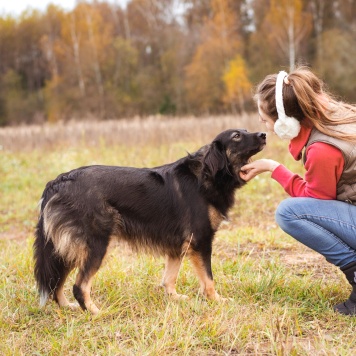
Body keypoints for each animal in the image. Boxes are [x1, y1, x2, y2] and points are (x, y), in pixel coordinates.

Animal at [33, 129, 266, 312]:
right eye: (236, 136)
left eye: (245, 131)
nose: (264, 134)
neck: (209, 173)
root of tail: (58, 182)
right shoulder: (200, 241)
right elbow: (208, 278)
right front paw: (216, 300)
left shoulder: (178, 244)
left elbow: (169, 278)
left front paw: (174, 298)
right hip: (95, 245)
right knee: (79, 286)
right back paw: (94, 312)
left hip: (65, 248)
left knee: (56, 282)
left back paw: (67, 307)